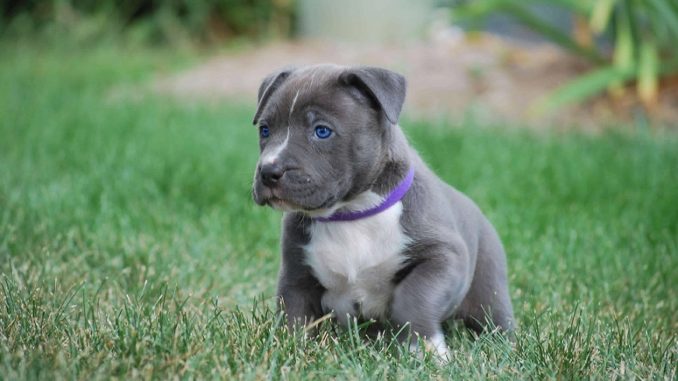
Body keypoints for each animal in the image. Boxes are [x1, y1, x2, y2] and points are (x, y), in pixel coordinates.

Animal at [251, 63, 516, 358]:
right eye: (265, 130)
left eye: (322, 131)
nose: (268, 171)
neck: (351, 212)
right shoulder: (297, 273)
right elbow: (294, 313)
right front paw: (292, 350)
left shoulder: (444, 257)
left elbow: (413, 296)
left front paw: (426, 349)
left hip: (488, 286)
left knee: (496, 319)